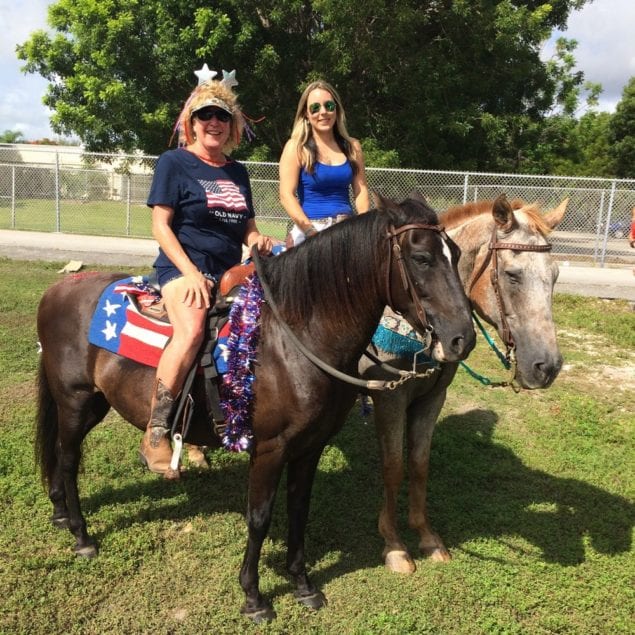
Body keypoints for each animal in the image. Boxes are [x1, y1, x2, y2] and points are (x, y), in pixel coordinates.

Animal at [33, 196, 472, 624]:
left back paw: (59, 513)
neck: (292, 340)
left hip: (94, 403)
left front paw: (303, 584)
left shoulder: (309, 447)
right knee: (69, 460)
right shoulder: (269, 450)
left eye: (456, 253)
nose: (461, 339)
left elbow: (299, 511)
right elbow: (259, 518)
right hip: (74, 401)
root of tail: (57, 290)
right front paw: (253, 597)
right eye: (421, 258)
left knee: (58, 454)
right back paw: (82, 535)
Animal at [360, 193, 568, 572]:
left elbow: (419, 464)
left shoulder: (433, 397)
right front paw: (394, 545)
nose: (547, 366)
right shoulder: (389, 399)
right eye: (512, 275)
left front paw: (427, 536)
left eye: (556, 275)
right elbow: (393, 467)